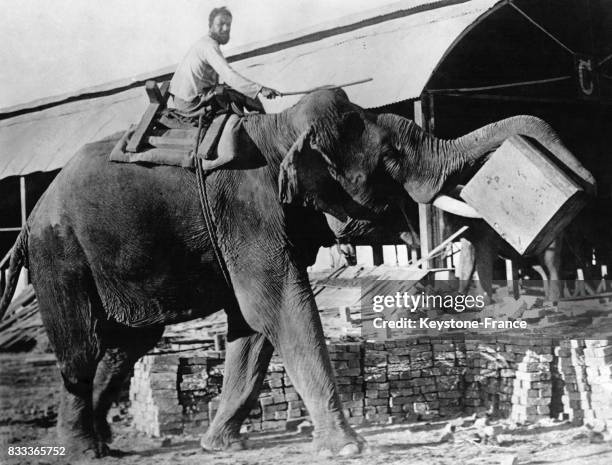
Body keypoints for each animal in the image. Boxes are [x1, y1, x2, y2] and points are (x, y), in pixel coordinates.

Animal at [0, 87, 596, 456]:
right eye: (392, 157)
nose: (582, 186)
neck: (280, 127)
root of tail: (30, 220)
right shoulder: (246, 208)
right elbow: (275, 304)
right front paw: (349, 447)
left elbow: (251, 326)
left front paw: (222, 445)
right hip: (61, 254)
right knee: (82, 347)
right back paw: (82, 450)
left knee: (127, 346)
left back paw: (106, 445)